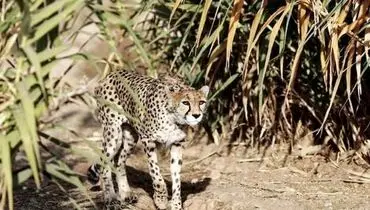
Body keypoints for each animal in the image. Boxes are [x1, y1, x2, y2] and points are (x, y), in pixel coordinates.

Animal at [89, 69, 208, 209]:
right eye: (185, 102)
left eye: (201, 102)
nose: (196, 115)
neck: (174, 119)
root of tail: (111, 74)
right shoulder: (148, 141)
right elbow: (156, 174)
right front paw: (160, 199)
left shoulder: (176, 144)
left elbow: (176, 178)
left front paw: (176, 204)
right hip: (113, 133)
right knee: (105, 163)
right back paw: (110, 198)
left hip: (131, 137)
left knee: (119, 162)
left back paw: (125, 194)